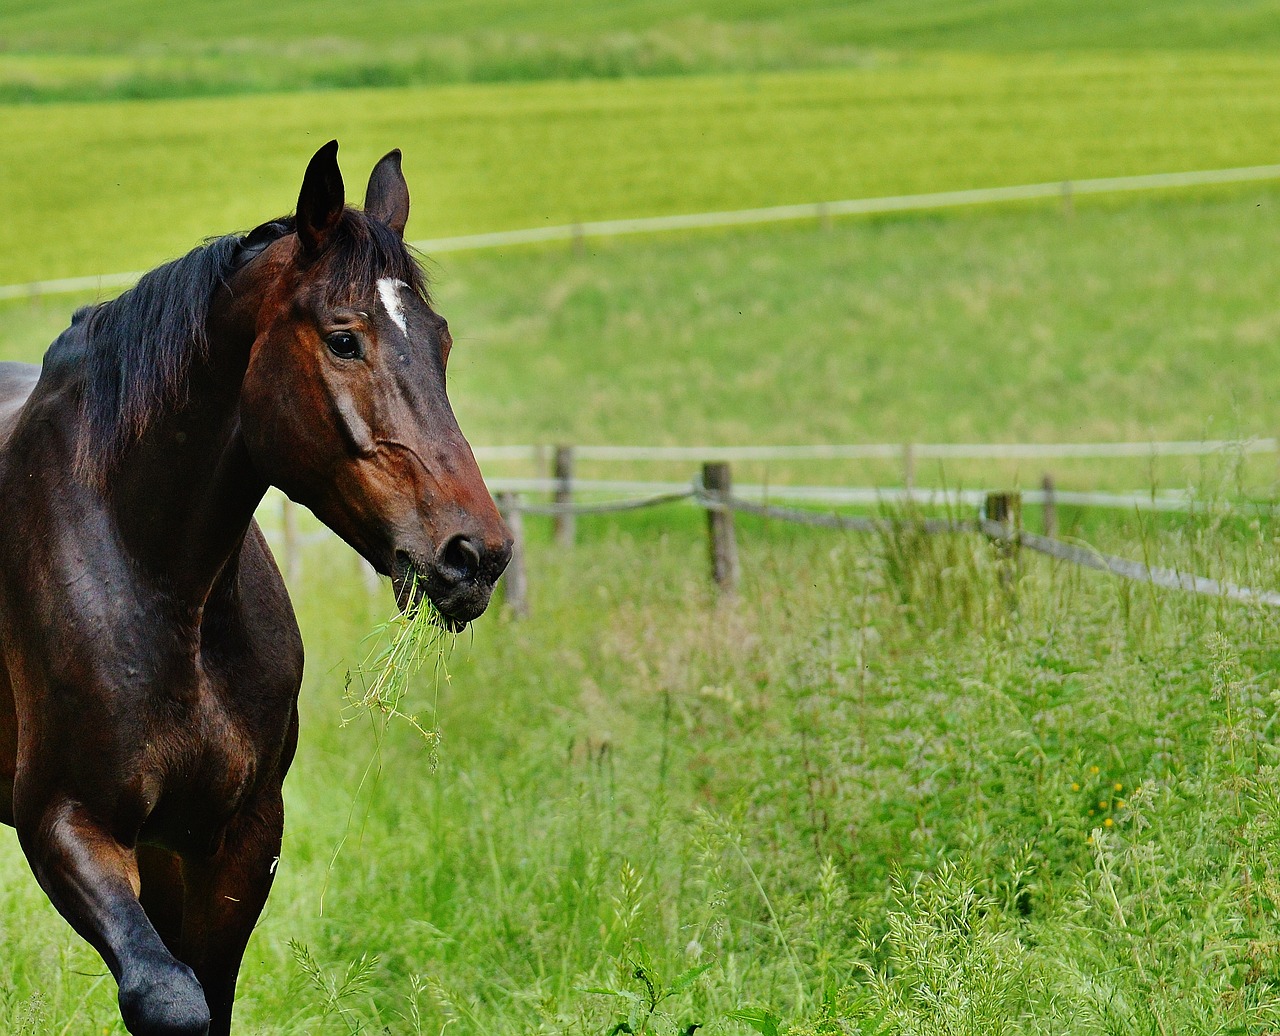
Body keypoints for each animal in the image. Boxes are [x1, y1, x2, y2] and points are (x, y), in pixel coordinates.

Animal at [0, 139, 509, 1034]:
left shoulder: (233, 837)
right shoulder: (64, 822)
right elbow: (169, 998)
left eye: (440, 341)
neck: (160, 584)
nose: (473, 556)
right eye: (343, 340)